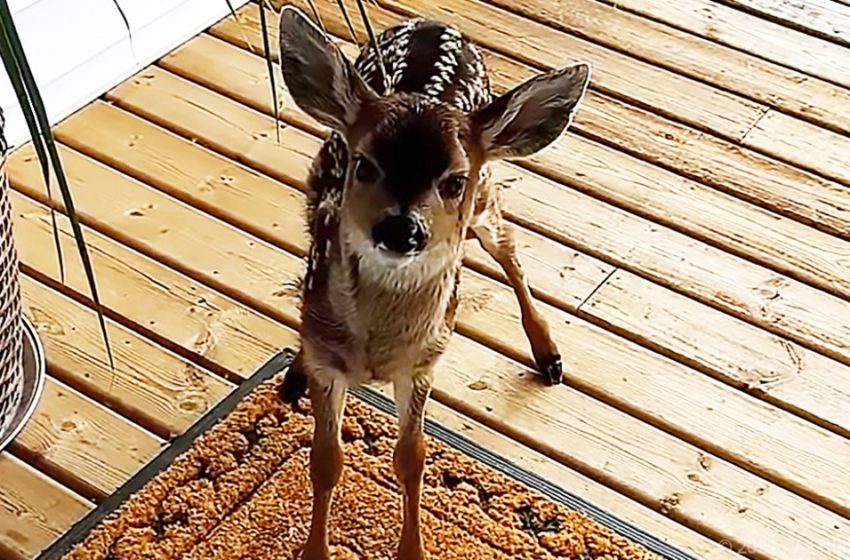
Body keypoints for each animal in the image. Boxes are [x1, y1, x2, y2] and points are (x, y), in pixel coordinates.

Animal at [278, 6, 588, 556]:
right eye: (364, 164)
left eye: (453, 179)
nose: (401, 228)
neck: (377, 351)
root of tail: (432, 22)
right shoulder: (329, 363)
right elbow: (325, 460)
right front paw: (315, 550)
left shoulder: (423, 364)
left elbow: (412, 460)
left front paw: (413, 550)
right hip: (316, 183)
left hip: (486, 201)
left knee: (509, 251)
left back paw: (548, 355)